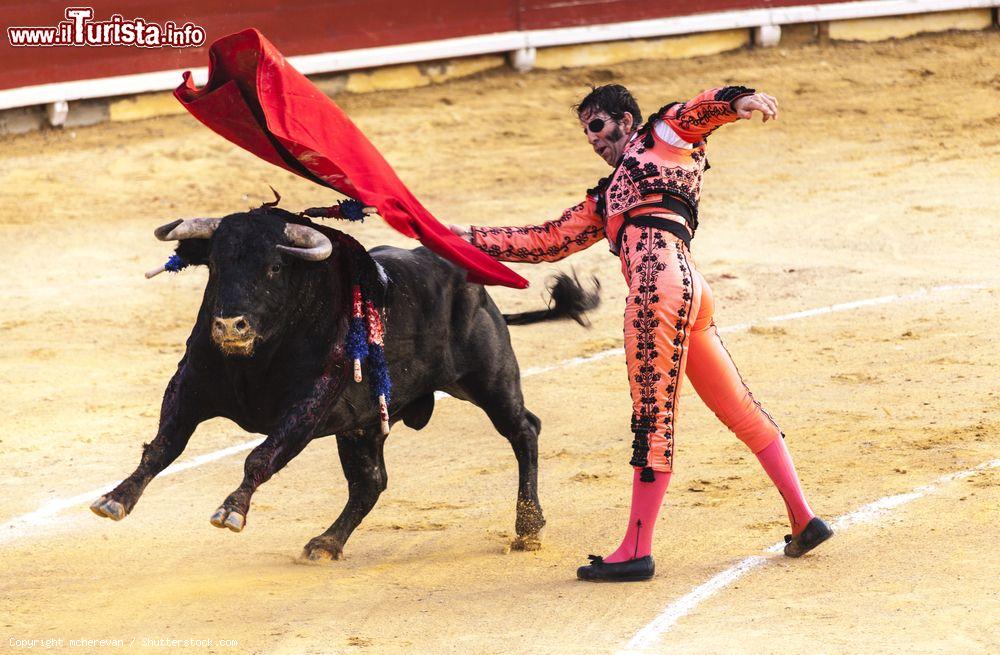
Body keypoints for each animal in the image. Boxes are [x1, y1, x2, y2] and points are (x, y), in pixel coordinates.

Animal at [90, 204, 596, 560]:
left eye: (274, 267)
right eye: (214, 264)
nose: (230, 326)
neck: (258, 357)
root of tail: (469, 278)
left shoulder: (306, 407)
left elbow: (260, 456)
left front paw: (231, 509)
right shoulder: (190, 385)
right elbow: (162, 447)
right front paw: (115, 499)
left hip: (488, 380)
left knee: (524, 430)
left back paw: (528, 527)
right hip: (364, 424)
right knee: (371, 481)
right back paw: (327, 543)